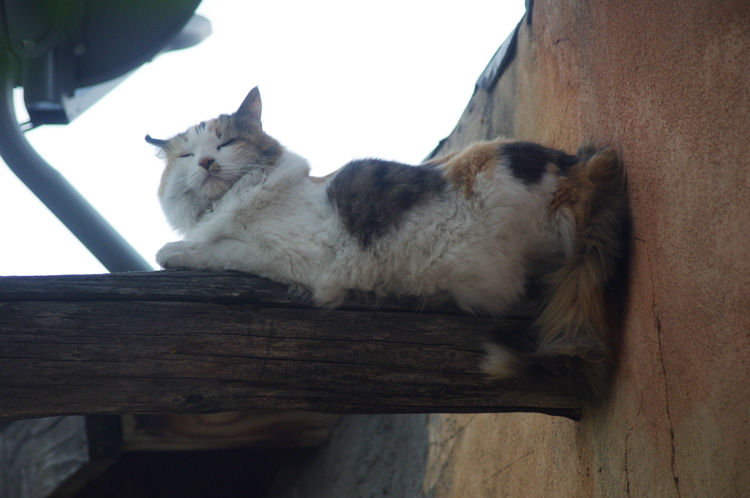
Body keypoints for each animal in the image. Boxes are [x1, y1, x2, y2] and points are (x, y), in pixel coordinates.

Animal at [145, 86, 628, 396]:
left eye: (226, 143)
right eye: (186, 155)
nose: (206, 162)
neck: (229, 203)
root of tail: (580, 167)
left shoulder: (298, 258)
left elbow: (222, 251)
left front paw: (171, 252)